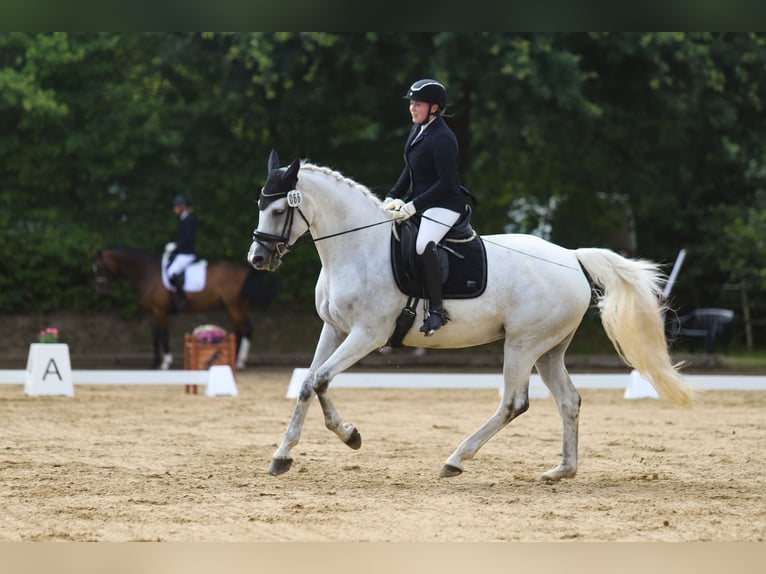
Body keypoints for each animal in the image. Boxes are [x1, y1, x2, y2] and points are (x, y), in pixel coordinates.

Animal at [93, 248, 280, 368]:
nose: (101, 290)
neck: (147, 273)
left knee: (246, 329)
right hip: (234, 307)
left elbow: (164, 335)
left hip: (234, 307)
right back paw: (234, 359)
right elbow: (155, 337)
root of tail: (246, 271)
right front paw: (154, 363)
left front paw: (165, 363)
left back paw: (239, 362)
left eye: (100, 267)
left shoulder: (160, 312)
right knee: (240, 331)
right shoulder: (151, 313)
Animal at [249, 152, 700, 482]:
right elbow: (309, 382)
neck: (358, 247)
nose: (257, 259)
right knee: (568, 399)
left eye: (278, 211)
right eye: (260, 206)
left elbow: (321, 380)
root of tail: (572, 257)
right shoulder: (334, 328)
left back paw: (456, 459)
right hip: (549, 349)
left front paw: (349, 437)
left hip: (522, 343)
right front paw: (283, 455)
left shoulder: (367, 334)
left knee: (513, 402)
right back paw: (561, 470)